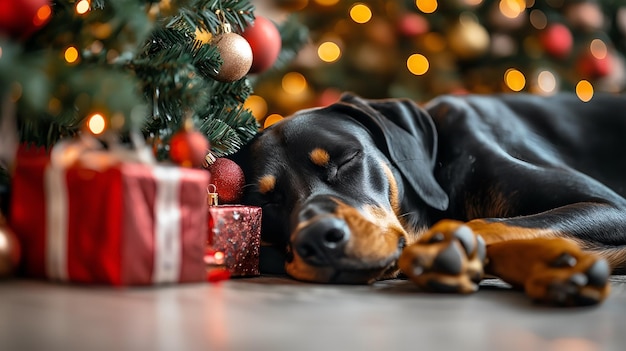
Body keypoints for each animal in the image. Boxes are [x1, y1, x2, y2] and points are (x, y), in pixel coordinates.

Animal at [229, 92, 624, 306]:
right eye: (267, 201)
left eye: (346, 159)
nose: (315, 238)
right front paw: (555, 266)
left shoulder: (612, 206)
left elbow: (481, 223)